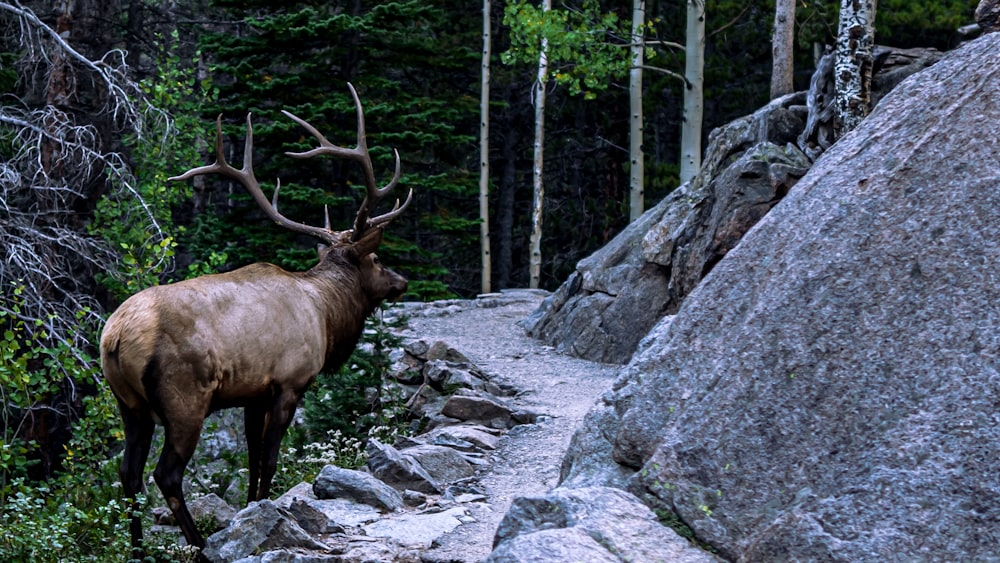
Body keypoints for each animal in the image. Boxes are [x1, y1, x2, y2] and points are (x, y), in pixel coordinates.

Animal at [99, 85, 412, 560]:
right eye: (376, 258)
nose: (401, 281)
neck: (326, 314)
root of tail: (114, 336)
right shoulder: (289, 382)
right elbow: (269, 457)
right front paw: (268, 511)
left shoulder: (252, 392)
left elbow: (249, 456)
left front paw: (251, 510)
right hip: (184, 399)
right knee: (165, 474)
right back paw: (199, 544)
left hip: (128, 404)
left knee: (128, 473)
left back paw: (139, 550)